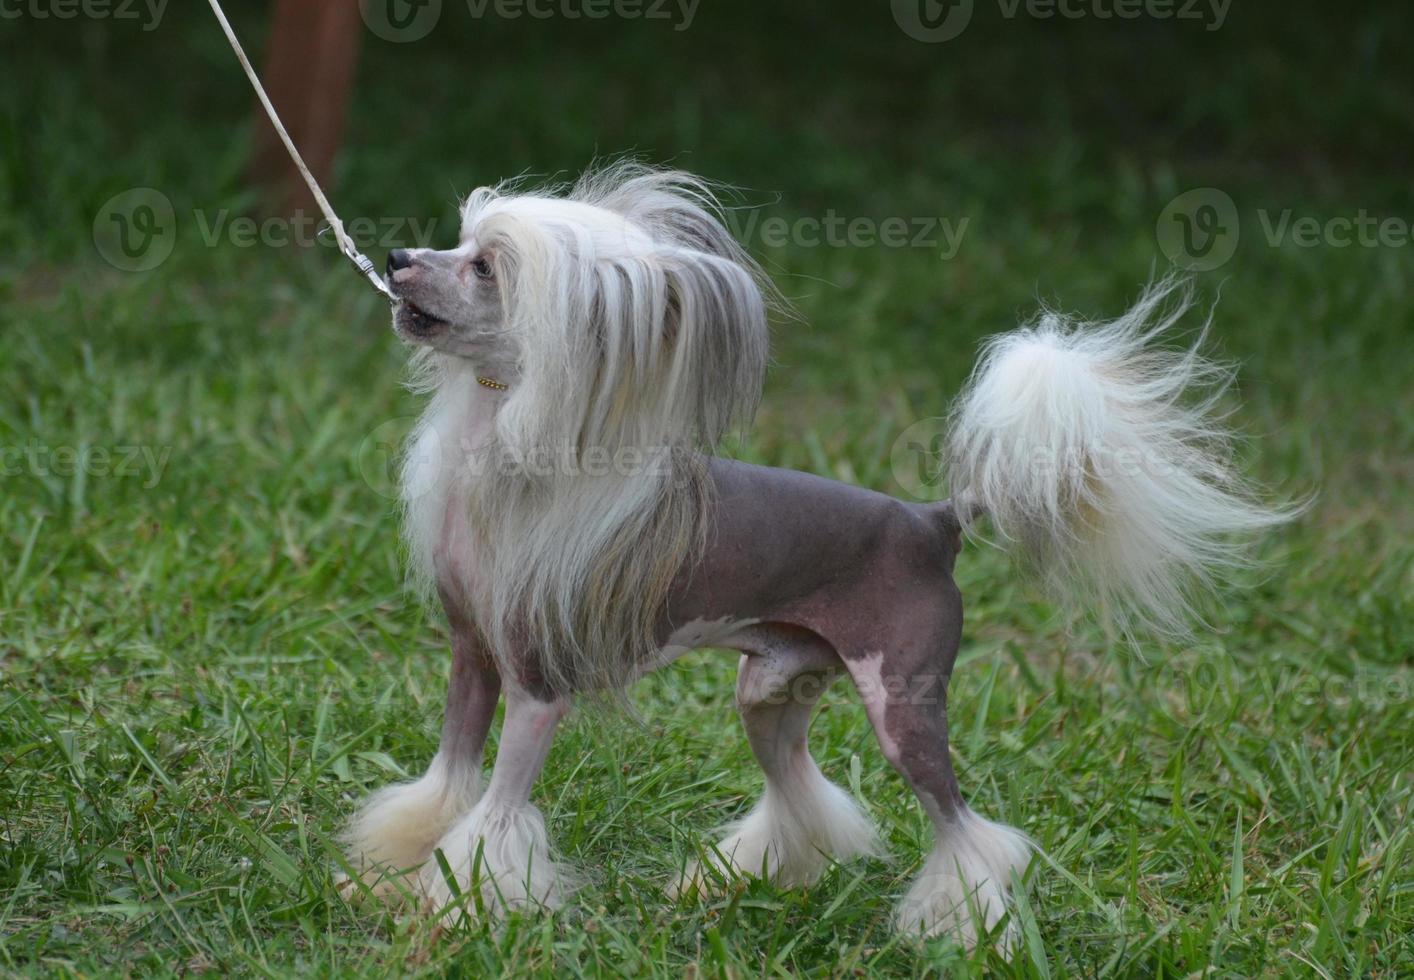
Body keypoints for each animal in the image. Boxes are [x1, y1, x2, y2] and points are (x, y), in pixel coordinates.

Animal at [336, 162, 1289, 950]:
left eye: (486, 268)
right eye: (459, 241)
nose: (396, 255)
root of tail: (933, 520)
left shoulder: (539, 687)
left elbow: (497, 810)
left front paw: (464, 906)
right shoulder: (473, 658)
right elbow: (447, 783)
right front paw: (393, 875)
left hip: (902, 705)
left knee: (963, 827)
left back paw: (960, 928)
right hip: (772, 688)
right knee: (796, 779)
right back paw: (751, 878)